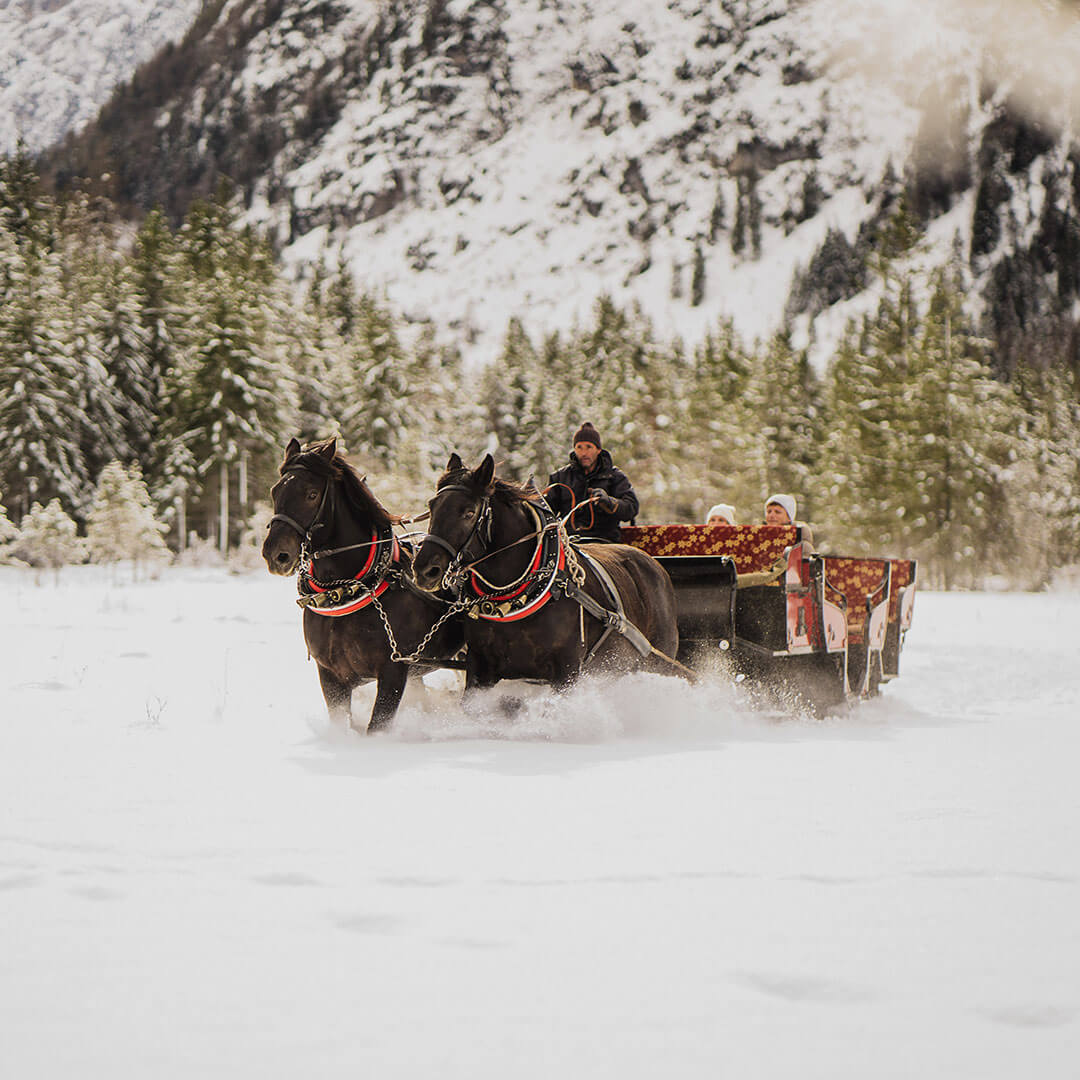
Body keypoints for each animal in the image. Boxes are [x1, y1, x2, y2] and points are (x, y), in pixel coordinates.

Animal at [264, 438, 464, 734]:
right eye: (275, 491)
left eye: (311, 494)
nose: (275, 555)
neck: (344, 593)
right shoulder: (330, 676)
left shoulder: (393, 673)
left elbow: (376, 726)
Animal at [408, 453, 678, 691]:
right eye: (432, 507)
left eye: (469, 512)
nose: (425, 569)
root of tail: (655, 566)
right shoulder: (479, 667)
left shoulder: (567, 672)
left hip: (658, 663)